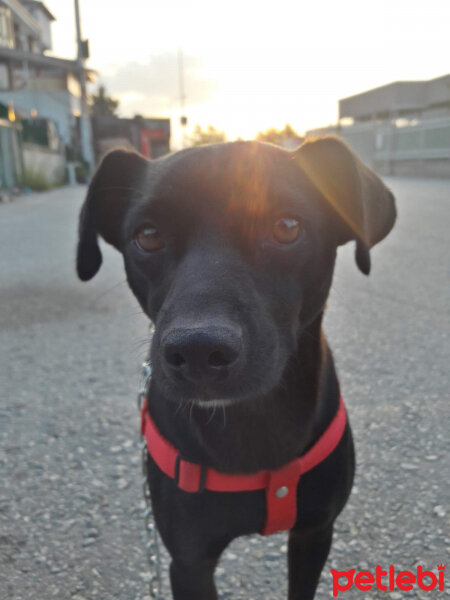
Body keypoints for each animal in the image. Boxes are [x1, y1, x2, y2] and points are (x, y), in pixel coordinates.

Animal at [75, 138, 396, 596]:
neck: (253, 420)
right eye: (148, 236)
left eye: (287, 226)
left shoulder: (315, 532)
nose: (197, 349)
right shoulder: (189, 562)